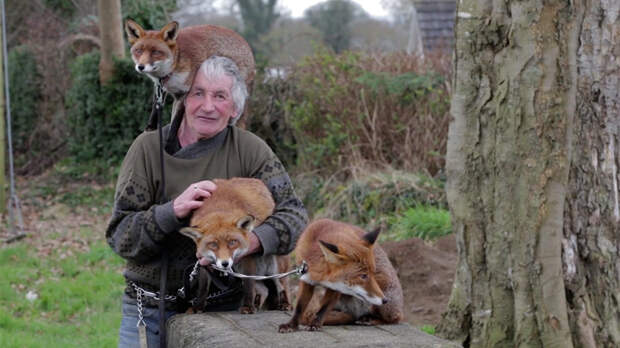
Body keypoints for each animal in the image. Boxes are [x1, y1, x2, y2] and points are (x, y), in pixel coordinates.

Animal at [179, 178, 290, 314]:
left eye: (232, 242)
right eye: (213, 244)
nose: (225, 264)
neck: (219, 205)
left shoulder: (248, 256)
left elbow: (248, 285)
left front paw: (247, 306)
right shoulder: (205, 260)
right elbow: (203, 288)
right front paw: (198, 307)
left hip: (275, 270)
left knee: (282, 286)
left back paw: (285, 304)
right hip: (243, 270)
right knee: (264, 290)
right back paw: (257, 305)